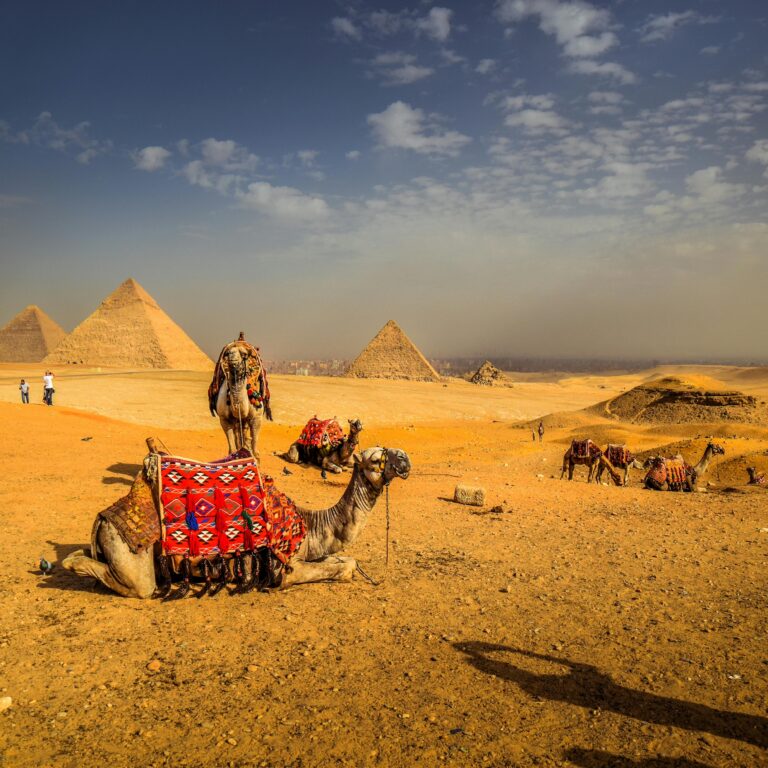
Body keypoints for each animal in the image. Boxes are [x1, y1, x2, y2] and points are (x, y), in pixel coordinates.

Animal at [62, 440, 412, 596]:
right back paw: (72, 562)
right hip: (132, 554)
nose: (405, 459)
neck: (312, 526)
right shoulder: (285, 568)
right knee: (137, 584)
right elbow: (341, 570)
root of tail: (102, 519)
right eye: (376, 459)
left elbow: (347, 561)